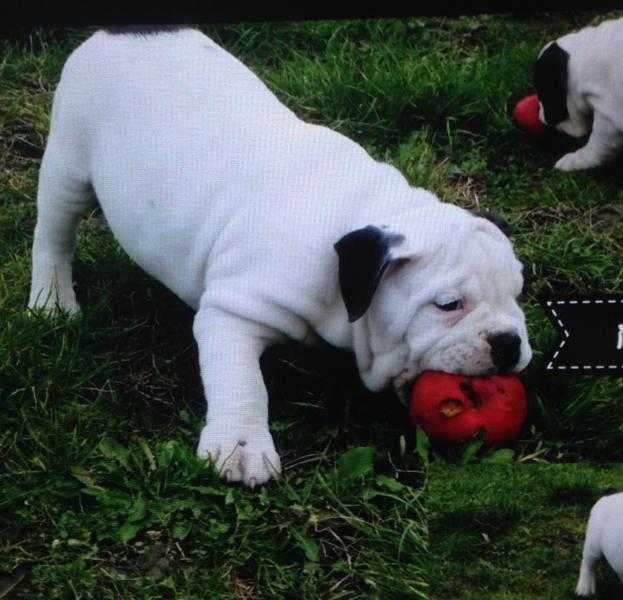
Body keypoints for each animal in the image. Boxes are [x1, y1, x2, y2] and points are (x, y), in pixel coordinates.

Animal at [29, 27, 532, 488]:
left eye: (517, 297)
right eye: (447, 306)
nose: (509, 342)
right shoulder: (233, 311)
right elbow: (241, 381)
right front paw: (241, 447)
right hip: (68, 160)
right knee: (53, 233)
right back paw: (51, 303)